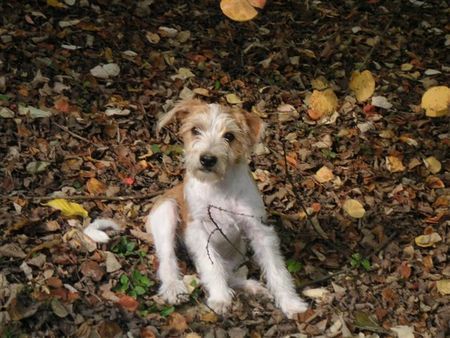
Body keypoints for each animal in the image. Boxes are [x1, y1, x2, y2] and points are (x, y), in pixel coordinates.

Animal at [146, 98, 308, 320]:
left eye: (229, 136)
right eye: (195, 130)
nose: (207, 159)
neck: (219, 186)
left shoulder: (259, 229)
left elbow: (276, 268)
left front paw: (291, 303)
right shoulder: (199, 230)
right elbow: (211, 265)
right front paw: (220, 298)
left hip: (238, 249)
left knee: (228, 272)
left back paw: (251, 287)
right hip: (166, 212)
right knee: (167, 259)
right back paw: (174, 288)